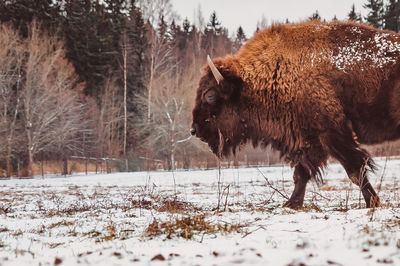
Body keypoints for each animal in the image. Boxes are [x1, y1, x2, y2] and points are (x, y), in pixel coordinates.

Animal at [191, 19, 400, 209]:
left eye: (210, 95)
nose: (194, 130)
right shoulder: (307, 140)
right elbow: (301, 174)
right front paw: (291, 204)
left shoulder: (331, 133)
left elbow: (355, 170)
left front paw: (373, 202)